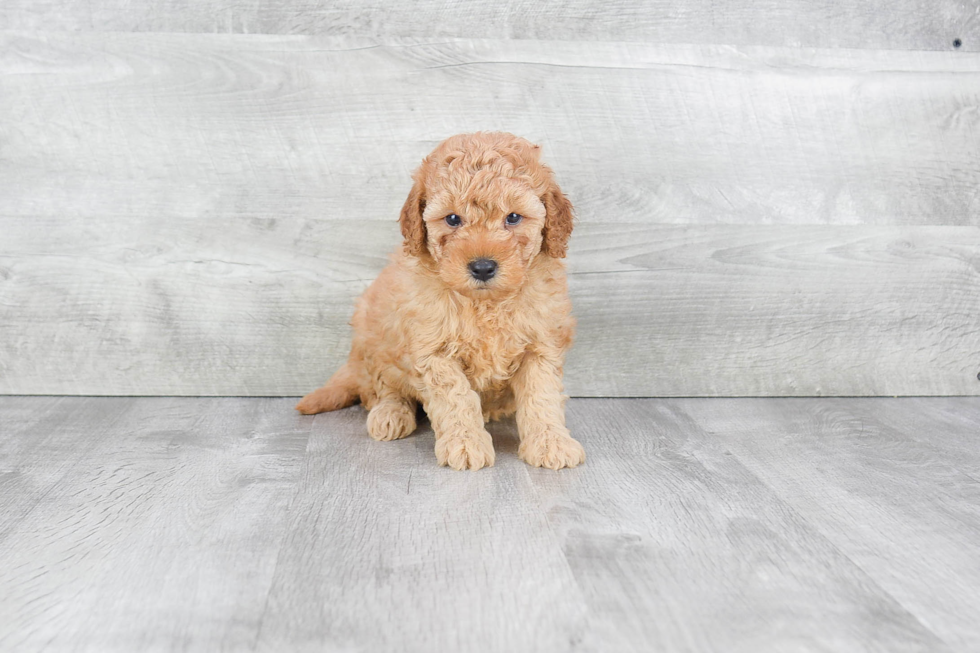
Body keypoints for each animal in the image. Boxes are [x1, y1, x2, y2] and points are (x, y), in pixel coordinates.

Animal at [290, 132, 580, 468]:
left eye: (513, 218)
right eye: (452, 219)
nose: (483, 267)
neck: (485, 303)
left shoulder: (541, 345)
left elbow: (541, 395)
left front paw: (551, 442)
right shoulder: (435, 352)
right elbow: (456, 398)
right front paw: (465, 444)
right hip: (373, 335)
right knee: (382, 389)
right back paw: (390, 414)